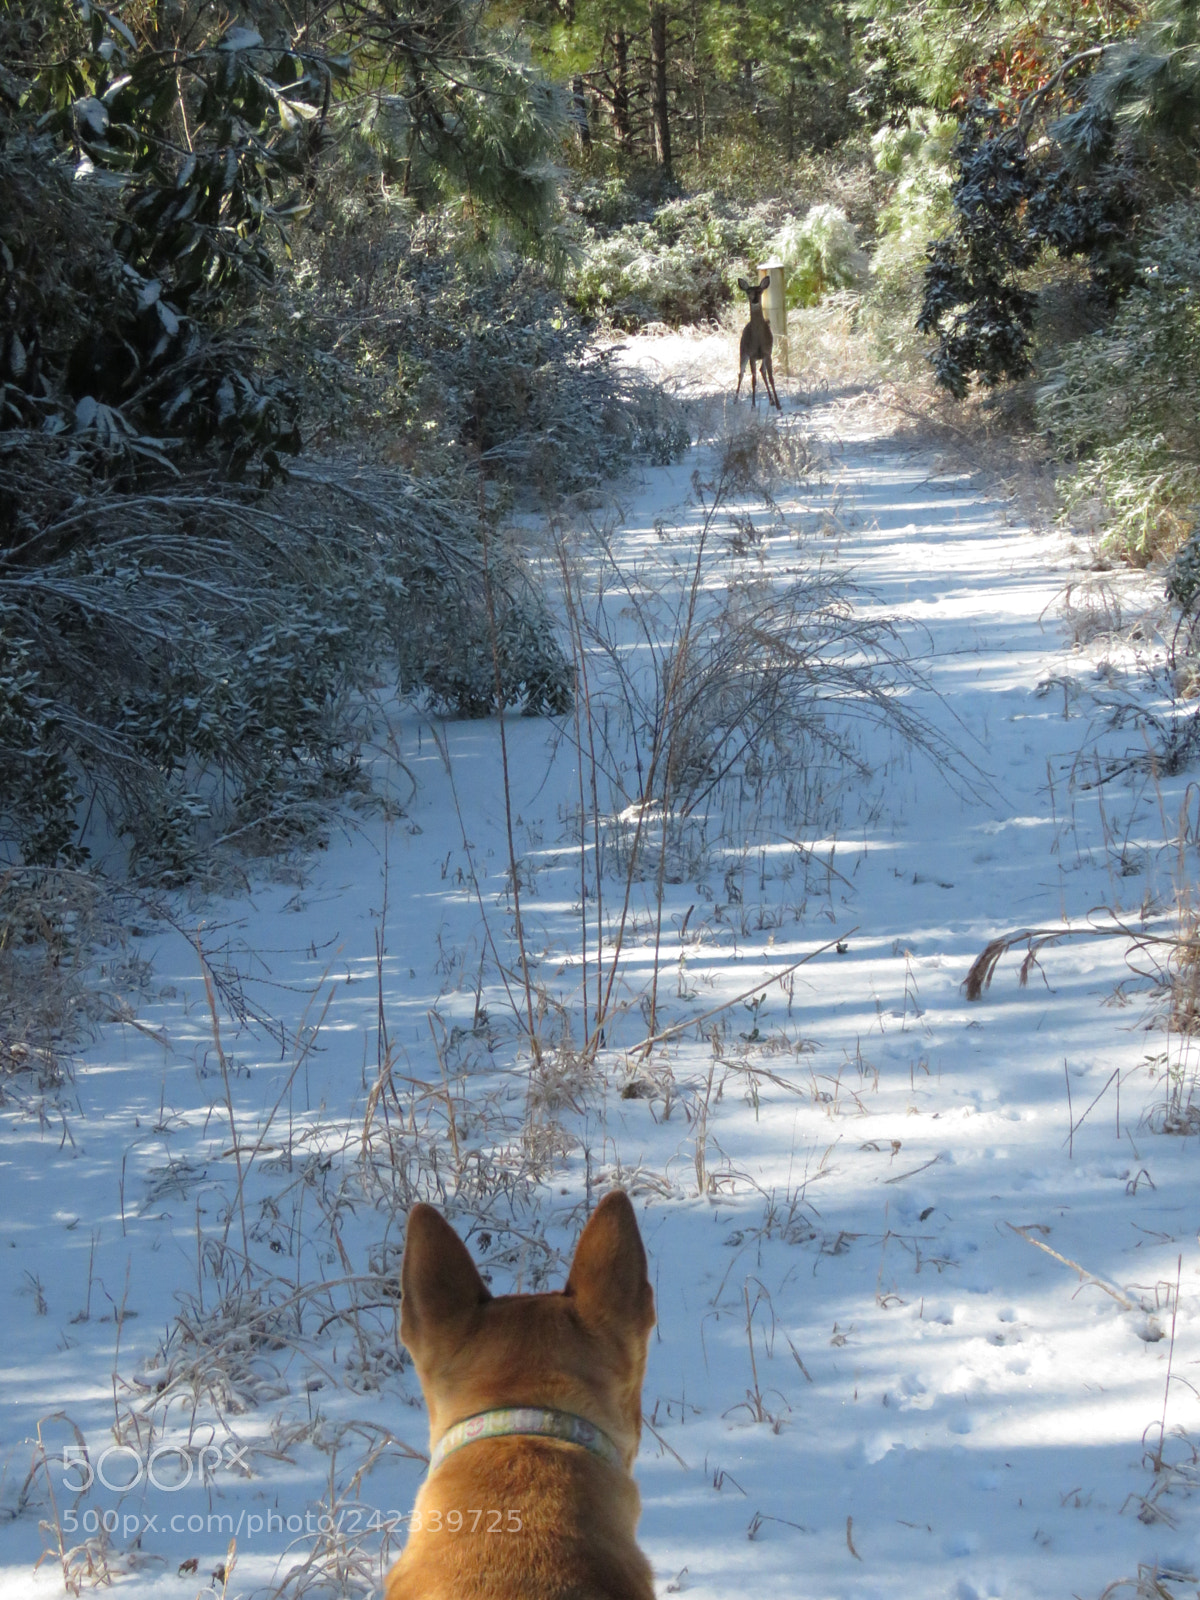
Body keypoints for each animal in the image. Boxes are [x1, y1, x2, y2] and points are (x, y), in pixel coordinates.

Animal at [736, 274, 781, 410]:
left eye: (760, 291)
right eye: (748, 292)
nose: (755, 300)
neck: (758, 340)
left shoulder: (767, 352)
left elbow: (771, 378)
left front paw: (778, 404)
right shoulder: (752, 354)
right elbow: (753, 380)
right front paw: (753, 404)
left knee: (762, 371)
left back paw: (771, 400)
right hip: (743, 352)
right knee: (741, 373)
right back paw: (735, 399)